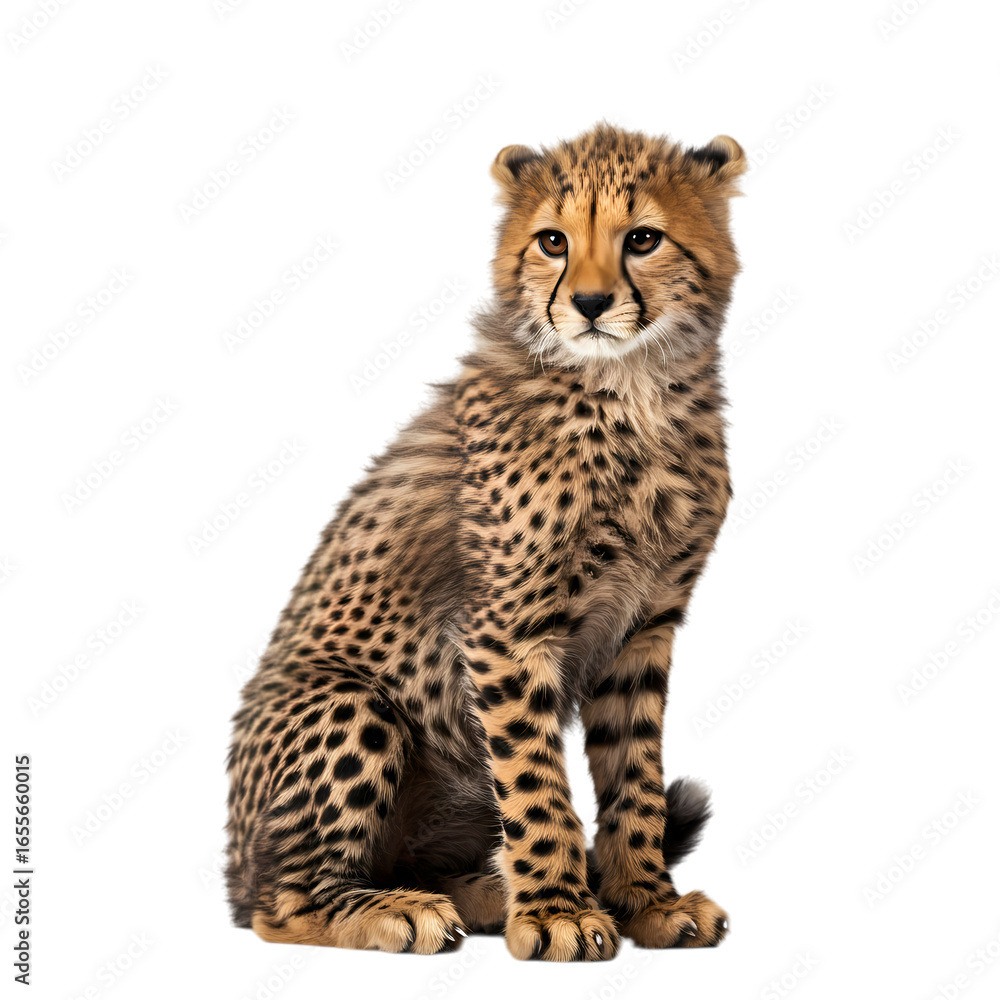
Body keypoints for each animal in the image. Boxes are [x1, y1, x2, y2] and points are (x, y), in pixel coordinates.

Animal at [225, 122, 746, 961]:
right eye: (552, 241)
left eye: (642, 239)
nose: (591, 303)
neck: (629, 391)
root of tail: (234, 869)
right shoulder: (506, 631)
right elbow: (536, 783)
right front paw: (560, 912)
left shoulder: (644, 630)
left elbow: (633, 775)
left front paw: (646, 900)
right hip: (347, 700)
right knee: (284, 901)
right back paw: (398, 910)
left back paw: (482, 894)